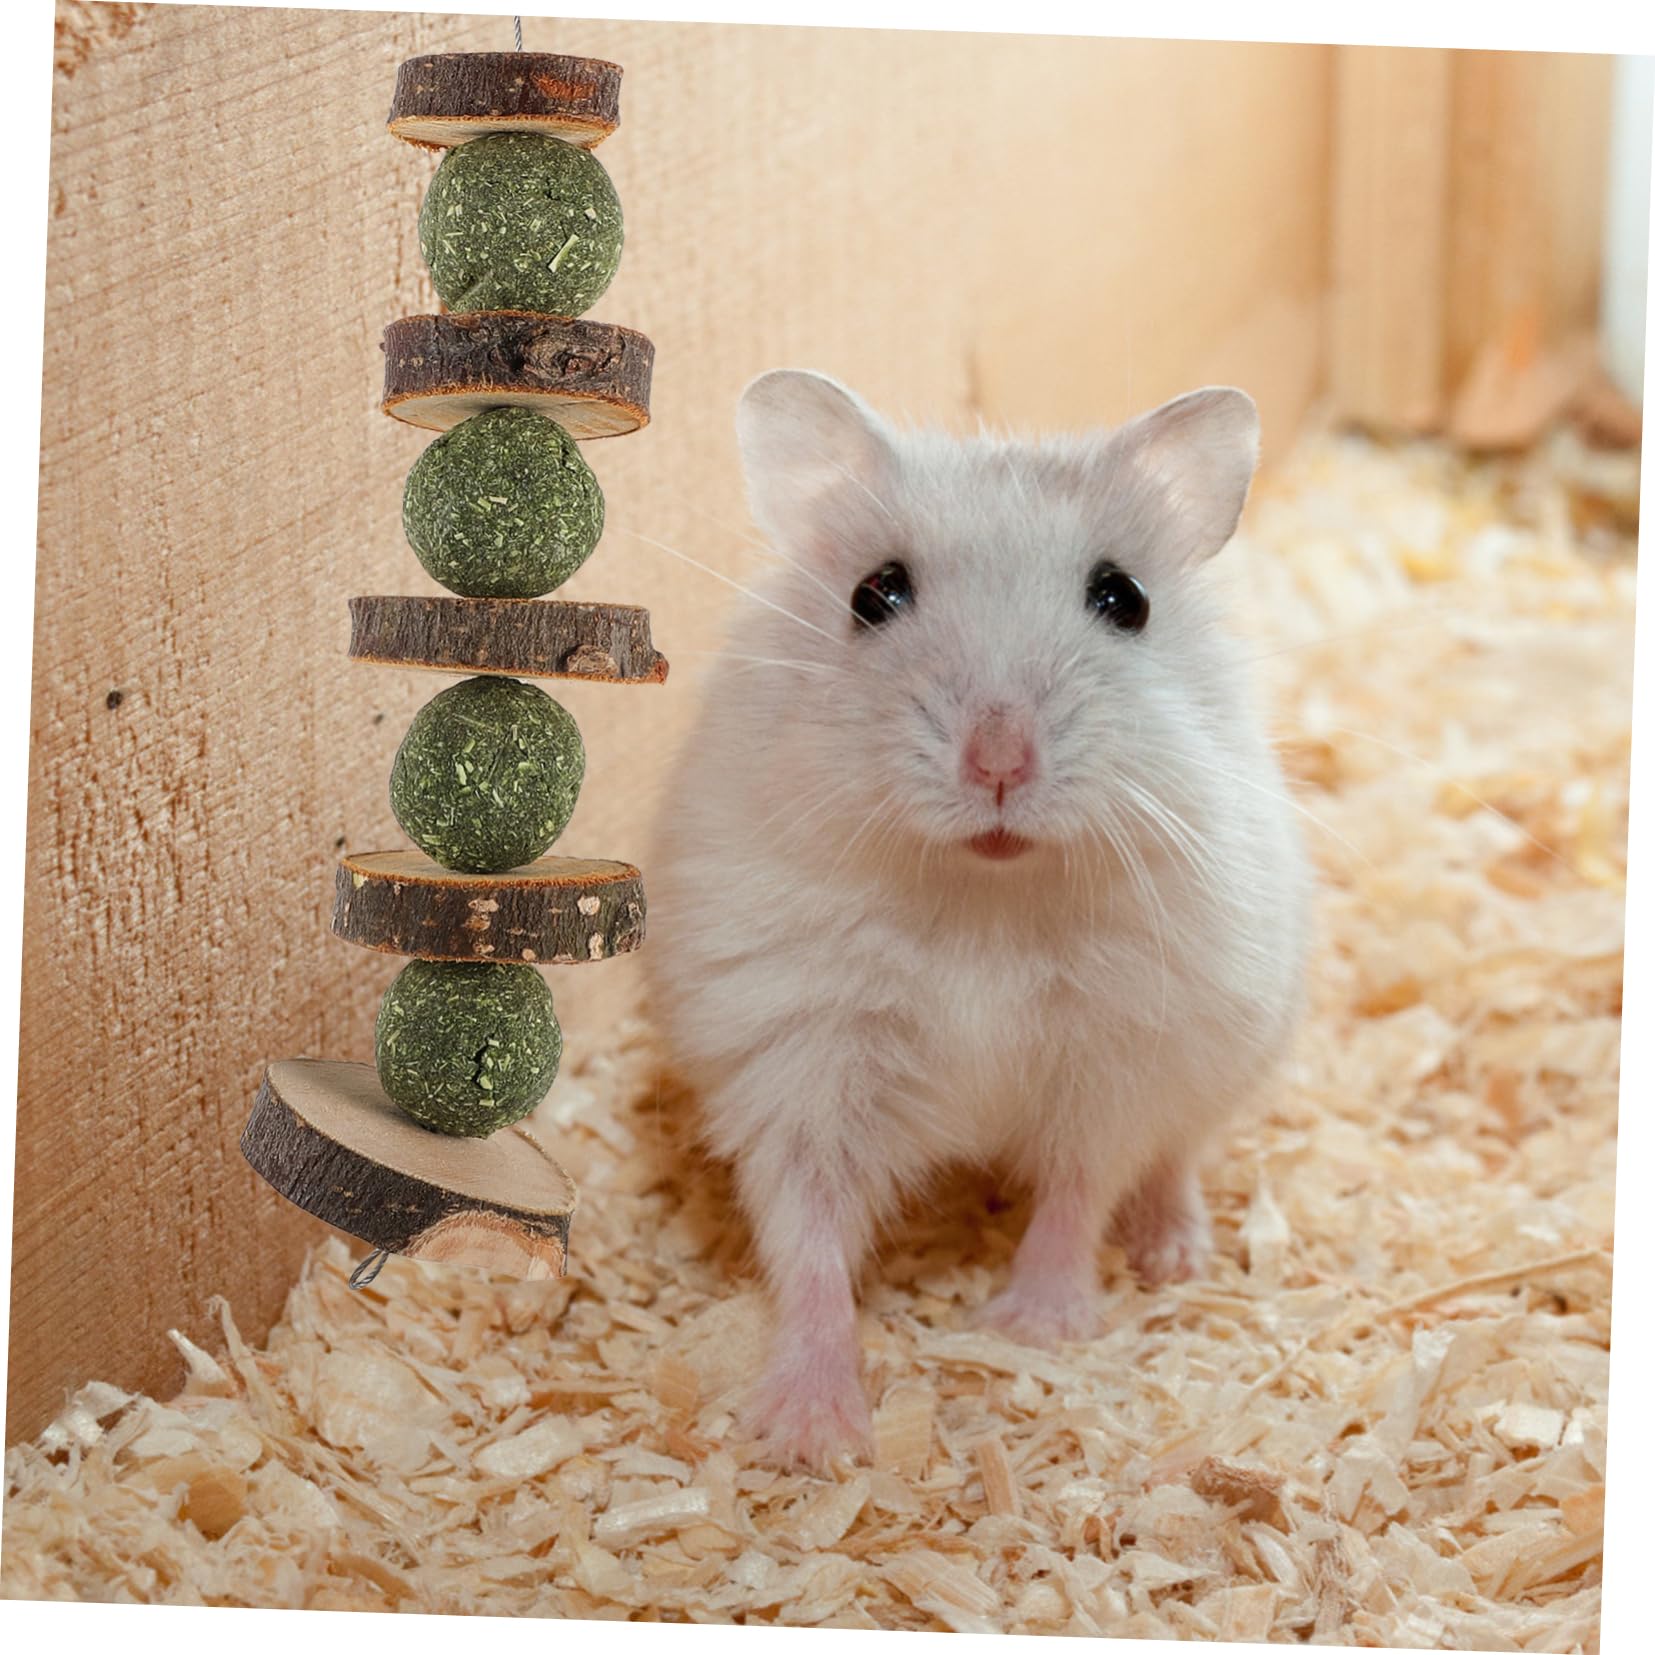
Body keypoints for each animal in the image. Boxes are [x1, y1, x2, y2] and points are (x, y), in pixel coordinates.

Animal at [644, 370, 1312, 1468]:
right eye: (873, 594)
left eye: (1122, 599)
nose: (997, 760)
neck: (985, 899)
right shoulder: (801, 1063)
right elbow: (809, 1237)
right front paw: (812, 1436)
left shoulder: (1119, 1056)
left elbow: (1081, 1185)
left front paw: (1033, 1328)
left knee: (1173, 1155)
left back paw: (1172, 1252)